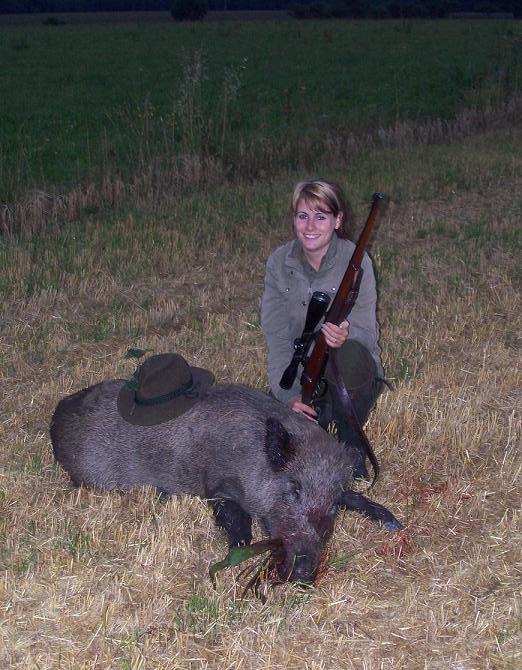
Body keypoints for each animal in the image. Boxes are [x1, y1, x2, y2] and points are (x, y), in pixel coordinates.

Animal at [50, 382, 401, 583]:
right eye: (294, 488)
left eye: (332, 504)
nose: (303, 573)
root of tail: (58, 415)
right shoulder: (218, 486)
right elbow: (234, 519)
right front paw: (236, 553)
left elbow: (356, 497)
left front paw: (393, 523)